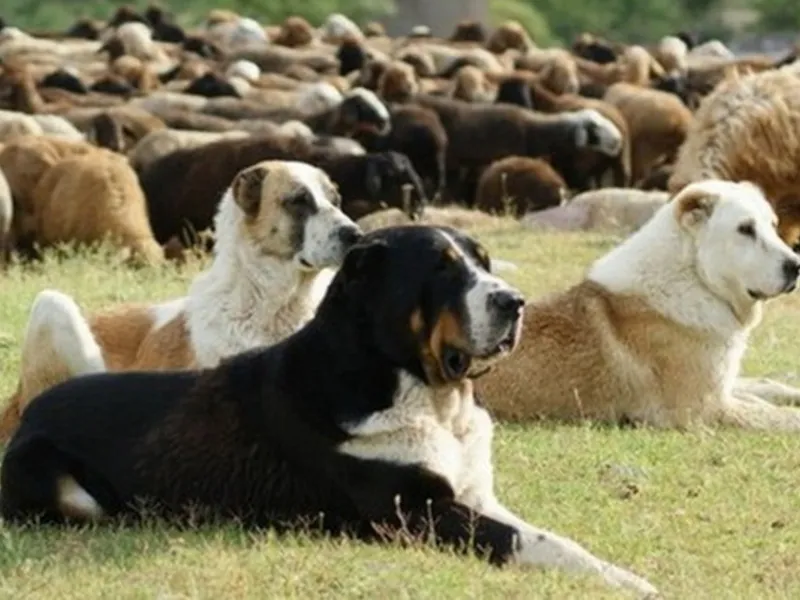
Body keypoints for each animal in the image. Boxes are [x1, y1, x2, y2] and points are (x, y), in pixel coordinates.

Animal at [1, 225, 656, 596]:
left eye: (485, 263)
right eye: (441, 269)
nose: (512, 302)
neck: (426, 396)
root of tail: (31, 410)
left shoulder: (472, 494)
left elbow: (552, 539)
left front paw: (621, 575)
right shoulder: (413, 511)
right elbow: (523, 541)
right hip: (62, 485)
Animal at [482, 179, 800, 432]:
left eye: (773, 226)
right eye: (745, 229)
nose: (796, 266)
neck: (695, 277)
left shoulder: (723, 385)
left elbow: (764, 386)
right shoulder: (702, 408)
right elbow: (777, 415)